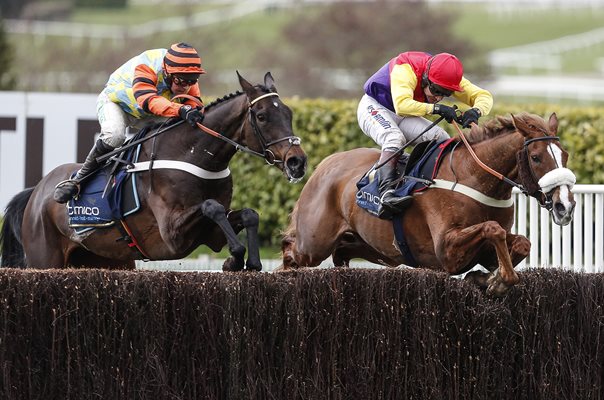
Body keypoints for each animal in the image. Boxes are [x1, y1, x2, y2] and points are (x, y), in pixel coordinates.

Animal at [1, 72, 306, 272]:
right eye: (262, 116)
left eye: (289, 114)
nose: (297, 161)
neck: (193, 154)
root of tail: (37, 192)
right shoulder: (171, 235)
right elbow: (212, 206)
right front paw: (237, 256)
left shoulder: (209, 235)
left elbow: (248, 214)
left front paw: (244, 261)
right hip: (44, 258)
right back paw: (68, 188)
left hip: (109, 259)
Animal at [282, 114, 576, 296]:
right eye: (536, 157)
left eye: (565, 155)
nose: (565, 206)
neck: (473, 177)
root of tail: (325, 164)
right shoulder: (446, 250)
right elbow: (493, 228)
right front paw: (496, 281)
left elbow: (521, 243)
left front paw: (492, 280)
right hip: (313, 243)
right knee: (289, 251)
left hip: (371, 247)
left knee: (341, 253)